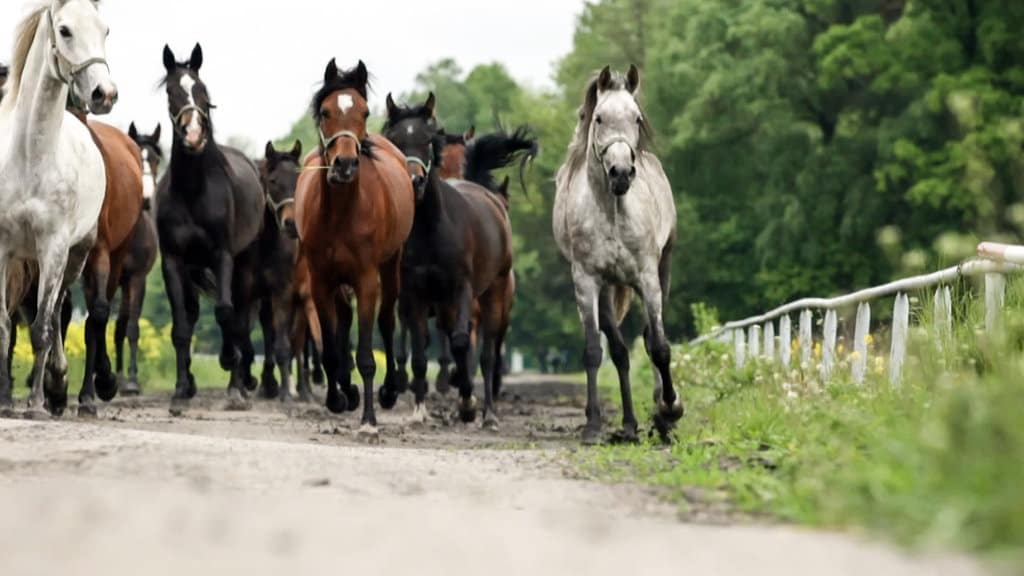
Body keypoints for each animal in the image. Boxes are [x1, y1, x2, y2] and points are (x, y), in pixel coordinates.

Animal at [0, 0, 119, 414]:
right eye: (65, 30)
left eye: (105, 29)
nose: (104, 94)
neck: (29, 155)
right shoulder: (3, 248)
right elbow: (4, 326)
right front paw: (6, 400)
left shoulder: (53, 247)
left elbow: (41, 328)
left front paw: (36, 402)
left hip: (75, 255)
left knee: (56, 312)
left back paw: (61, 387)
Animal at [156, 44, 266, 412]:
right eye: (171, 92)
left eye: (202, 90)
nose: (193, 135)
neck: (193, 190)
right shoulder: (174, 261)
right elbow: (180, 326)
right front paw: (179, 390)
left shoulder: (223, 255)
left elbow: (225, 312)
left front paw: (232, 365)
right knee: (192, 314)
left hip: (245, 265)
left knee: (241, 316)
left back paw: (239, 385)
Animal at [294, 58, 413, 436]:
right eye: (326, 111)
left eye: (364, 111)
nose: (345, 165)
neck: (341, 212)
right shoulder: (320, 281)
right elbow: (331, 349)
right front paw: (337, 398)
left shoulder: (366, 279)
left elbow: (366, 355)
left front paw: (369, 420)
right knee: (343, 322)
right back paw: (347, 390)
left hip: (391, 267)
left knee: (387, 320)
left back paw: (388, 391)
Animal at [557, 63, 684, 444]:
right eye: (598, 118)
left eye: (637, 118)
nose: (622, 173)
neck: (613, 211)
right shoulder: (587, 283)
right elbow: (594, 351)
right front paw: (593, 426)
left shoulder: (647, 278)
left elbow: (660, 346)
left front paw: (670, 410)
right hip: (607, 289)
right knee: (619, 352)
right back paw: (627, 424)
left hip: (663, 269)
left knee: (648, 339)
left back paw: (659, 412)